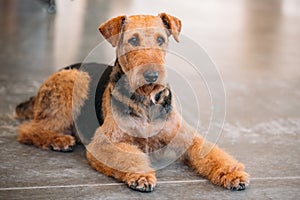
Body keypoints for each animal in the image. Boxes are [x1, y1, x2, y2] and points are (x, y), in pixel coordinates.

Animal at [17, 13, 251, 192]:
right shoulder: (104, 143)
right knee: (29, 129)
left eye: (160, 40)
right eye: (133, 40)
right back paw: (59, 140)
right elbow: (129, 157)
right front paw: (142, 176)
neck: (146, 100)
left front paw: (234, 174)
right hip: (75, 80)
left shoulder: (187, 138)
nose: (152, 76)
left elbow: (214, 154)